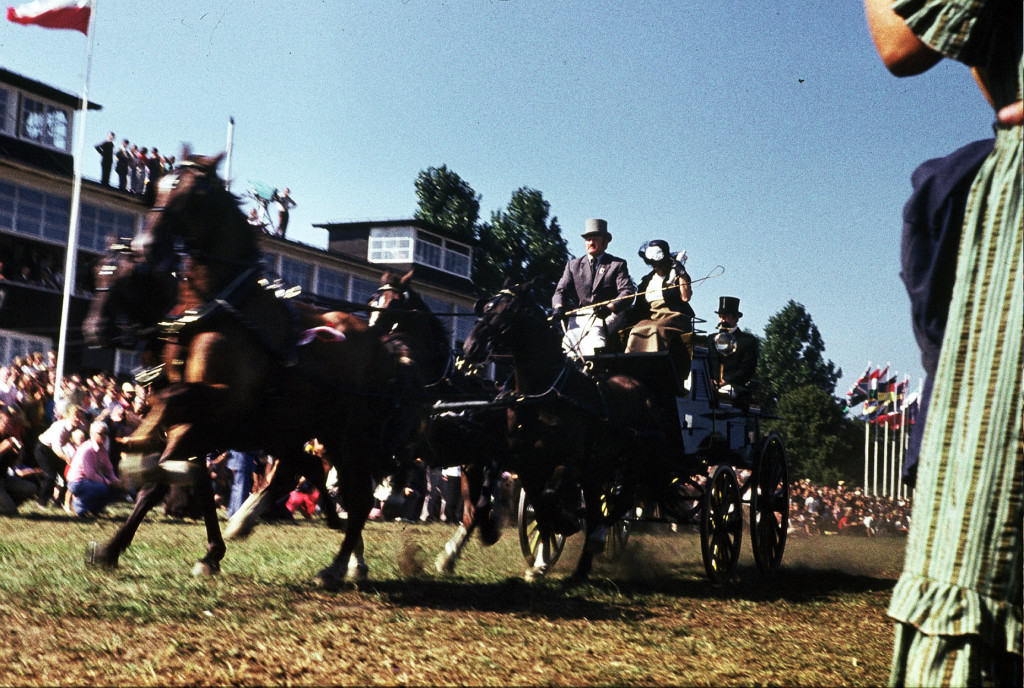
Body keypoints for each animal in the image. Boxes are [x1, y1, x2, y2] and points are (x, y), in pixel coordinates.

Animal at [82, 154, 419, 585]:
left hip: (349, 436)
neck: (215, 310)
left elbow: (164, 460)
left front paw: (137, 457)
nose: (94, 329)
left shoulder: (217, 409)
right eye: (98, 274)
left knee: (355, 496)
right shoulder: (199, 426)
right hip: (304, 432)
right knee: (316, 475)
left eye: (129, 276)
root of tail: (384, 346)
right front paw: (194, 552)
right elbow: (188, 479)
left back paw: (338, 565)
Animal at [460, 278, 659, 581]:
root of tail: (638, 385)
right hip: (597, 469)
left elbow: (550, 498)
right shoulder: (525, 463)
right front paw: (500, 534)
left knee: (620, 502)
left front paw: (565, 523)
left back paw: (598, 537)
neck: (543, 394)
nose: (470, 346)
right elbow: (536, 505)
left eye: (509, 310)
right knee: (598, 507)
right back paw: (580, 570)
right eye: (487, 306)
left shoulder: (568, 462)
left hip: (630, 463)